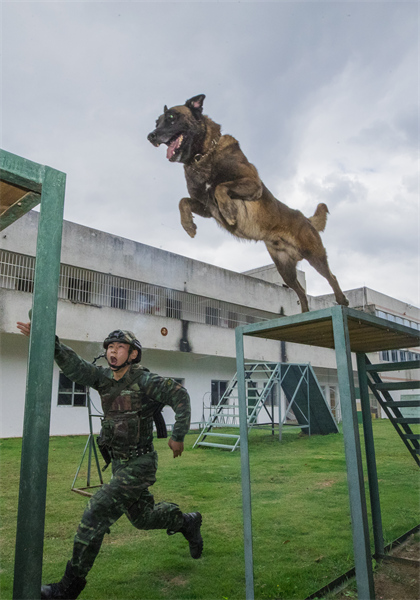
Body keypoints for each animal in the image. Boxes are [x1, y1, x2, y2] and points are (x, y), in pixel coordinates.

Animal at [148, 94, 348, 314]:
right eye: (157, 122)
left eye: (172, 117)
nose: (151, 136)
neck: (203, 155)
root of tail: (306, 218)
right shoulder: (206, 207)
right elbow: (183, 201)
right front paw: (189, 225)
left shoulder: (253, 184)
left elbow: (220, 188)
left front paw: (228, 212)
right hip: (285, 270)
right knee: (300, 291)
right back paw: (304, 314)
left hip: (314, 254)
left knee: (331, 276)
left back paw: (341, 300)